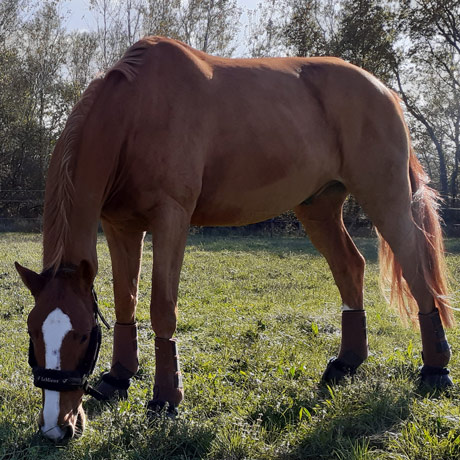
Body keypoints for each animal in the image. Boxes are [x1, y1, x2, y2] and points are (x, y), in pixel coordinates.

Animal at [14, 36, 452, 442]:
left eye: (83, 334)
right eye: (33, 331)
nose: (56, 427)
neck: (135, 114)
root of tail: (383, 91)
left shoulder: (171, 219)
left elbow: (161, 308)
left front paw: (165, 400)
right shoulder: (121, 225)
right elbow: (126, 301)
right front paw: (119, 377)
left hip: (385, 197)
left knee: (416, 269)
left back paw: (435, 370)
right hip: (319, 206)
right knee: (350, 267)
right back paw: (346, 364)